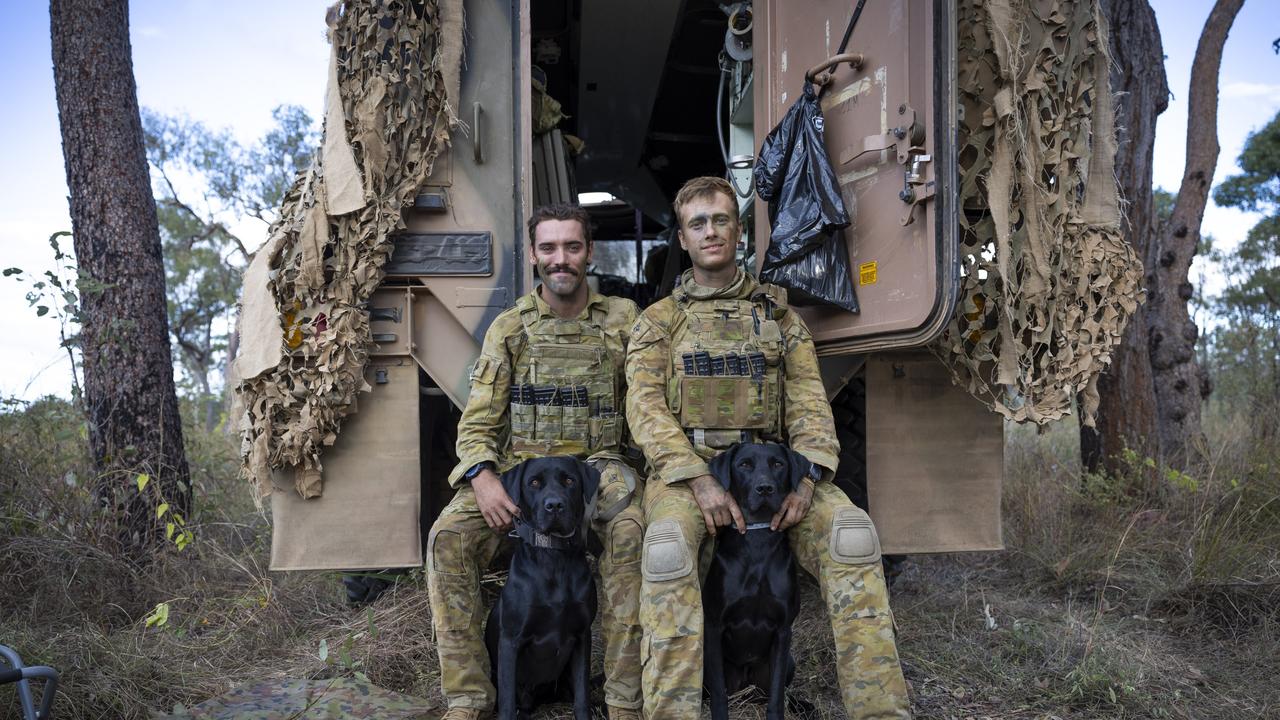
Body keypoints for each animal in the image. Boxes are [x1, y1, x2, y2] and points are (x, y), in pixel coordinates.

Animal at [483, 456, 599, 717]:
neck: (553, 556)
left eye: (569, 480)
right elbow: (507, 704)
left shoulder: (582, 635)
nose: (554, 505)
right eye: (534, 482)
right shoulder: (510, 640)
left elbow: (582, 697)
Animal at [706, 438, 803, 717]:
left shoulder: (783, 630)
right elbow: (718, 693)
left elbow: (777, 696)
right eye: (745, 465)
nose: (765, 488)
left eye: (778, 464)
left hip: (789, 661)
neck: (757, 538)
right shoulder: (714, 626)